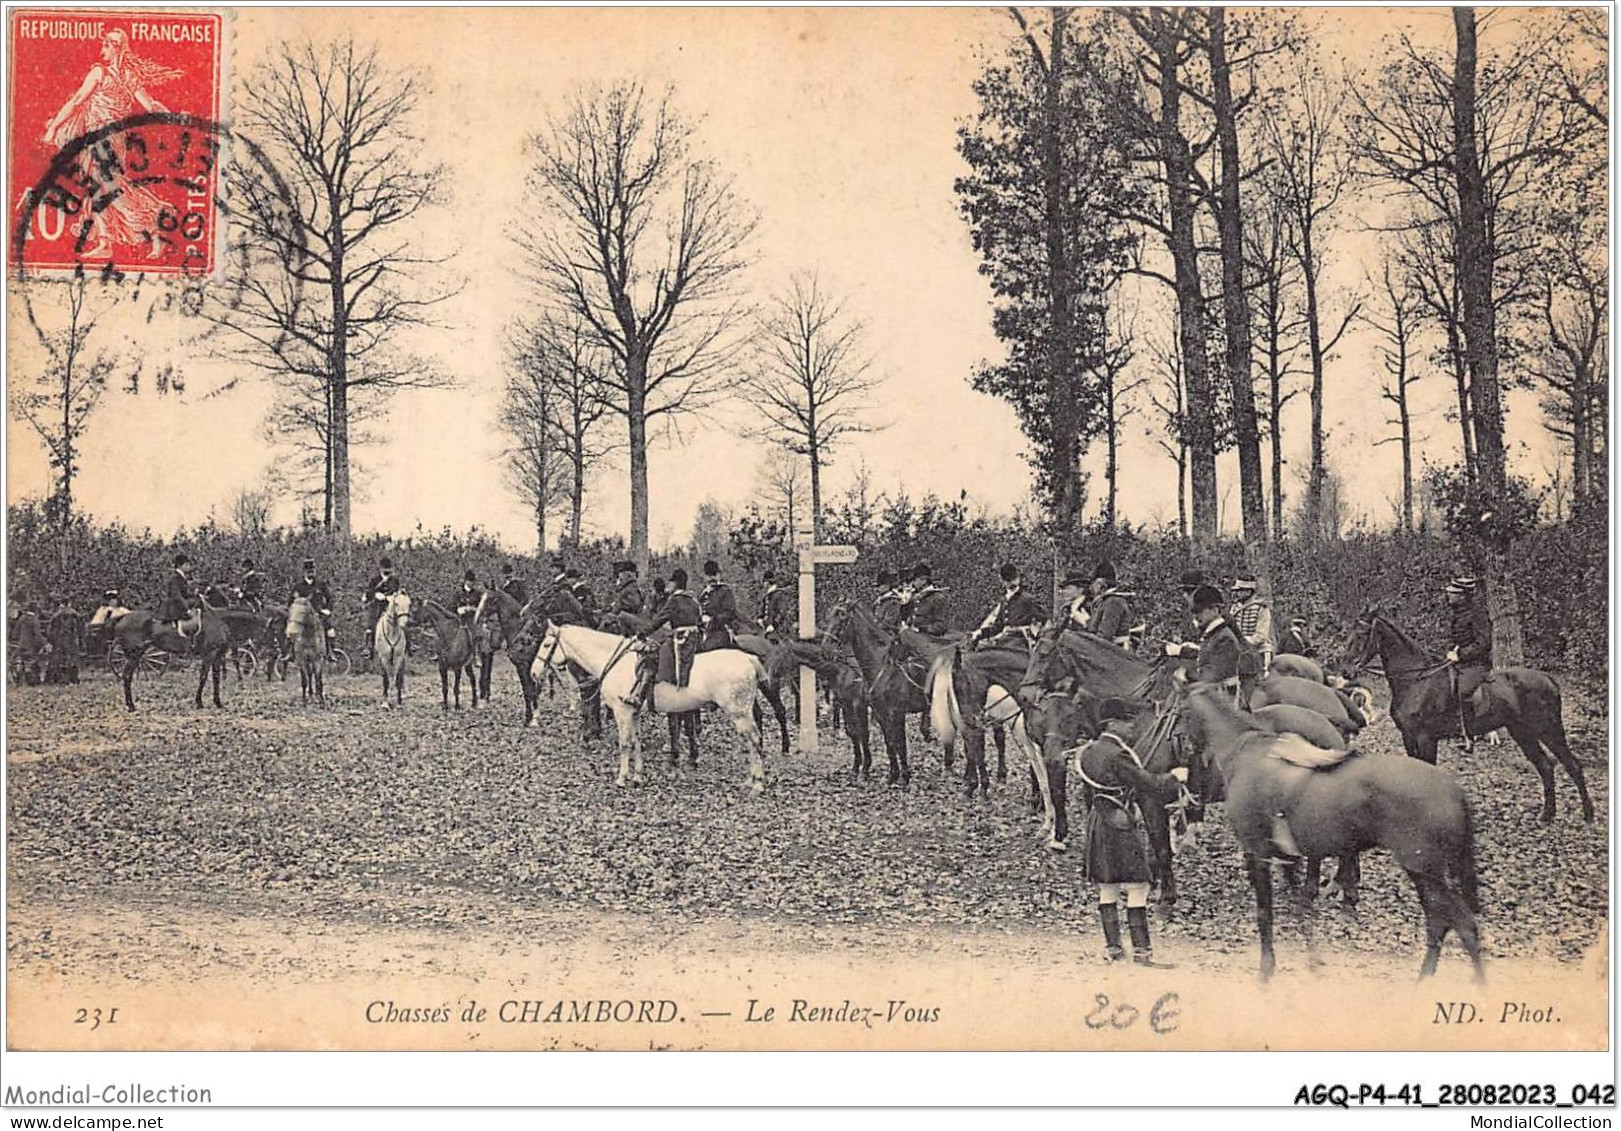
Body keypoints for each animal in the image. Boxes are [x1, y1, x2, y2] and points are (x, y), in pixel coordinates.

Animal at [534, 615, 774, 793]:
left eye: (546, 644)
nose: (534, 673)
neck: (617, 662)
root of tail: (748, 659)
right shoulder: (634, 711)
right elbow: (637, 742)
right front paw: (638, 776)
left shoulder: (622, 711)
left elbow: (625, 744)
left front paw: (622, 778)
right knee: (753, 740)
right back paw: (751, 780)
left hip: (739, 713)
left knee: (754, 739)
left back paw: (757, 783)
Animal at [1180, 683, 1484, 985]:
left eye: (1180, 711)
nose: (1188, 773)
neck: (1247, 751)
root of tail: (1452, 790)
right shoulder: (1285, 857)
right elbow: (1300, 906)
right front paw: (1313, 962)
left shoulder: (1258, 855)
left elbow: (1266, 913)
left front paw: (1267, 969)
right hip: (1423, 873)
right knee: (1440, 922)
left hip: (1426, 872)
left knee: (1463, 925)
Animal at [1342, 609, 1595, 819]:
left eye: (1362, 634)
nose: (1346, 671)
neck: (1416, 680)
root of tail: (1548, 679)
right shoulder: (1409, 737)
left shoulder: (1426, 738)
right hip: (1523, 732)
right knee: (1546, 765)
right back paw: (1547, 815)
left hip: (1549, 730)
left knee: (1572, 765)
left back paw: (1588, 815)